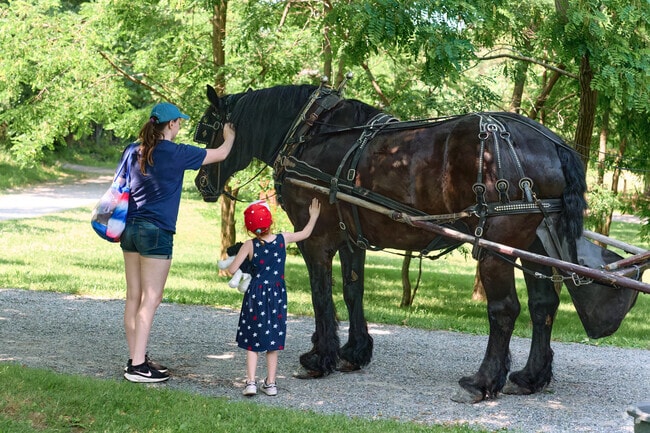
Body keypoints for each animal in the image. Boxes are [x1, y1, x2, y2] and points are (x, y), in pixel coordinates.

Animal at [193, 83, 639, 403]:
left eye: (208, 131)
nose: (200, 183)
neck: (311, 133)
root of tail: (552, 142)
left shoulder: (314, 234)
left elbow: (322, 293)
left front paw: (320, 358)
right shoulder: (352, 236)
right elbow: (353, 290)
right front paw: (354, 352)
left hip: (499, 245)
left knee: (505, 310)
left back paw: (482, 381)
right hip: (537, 243)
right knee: (543, 304)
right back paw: (530, 377)